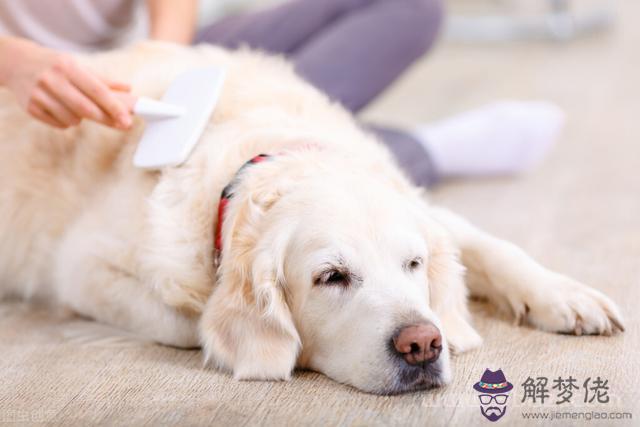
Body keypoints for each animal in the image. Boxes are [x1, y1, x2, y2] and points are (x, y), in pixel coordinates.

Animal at [0, 42, 624, 394]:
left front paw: (566, 297)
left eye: (414, 264)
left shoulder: (427, 211)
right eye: (332, 278)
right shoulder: (80, 268)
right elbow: (190, 323)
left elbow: (492, 247)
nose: (423, 344)